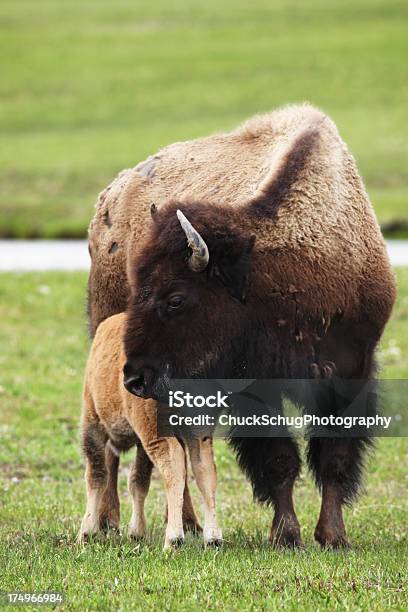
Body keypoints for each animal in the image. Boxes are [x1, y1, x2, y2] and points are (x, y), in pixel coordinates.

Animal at [77, 314, 222, 548]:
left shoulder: (93, 423)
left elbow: (97, 475)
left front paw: (86, 532)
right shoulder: (140, 441)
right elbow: (139, 480)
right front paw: (136, 532)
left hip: (154, 430)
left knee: (174, 466)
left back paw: (173, 540)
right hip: (198, 428)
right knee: (204, 468)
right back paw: (213, 538)